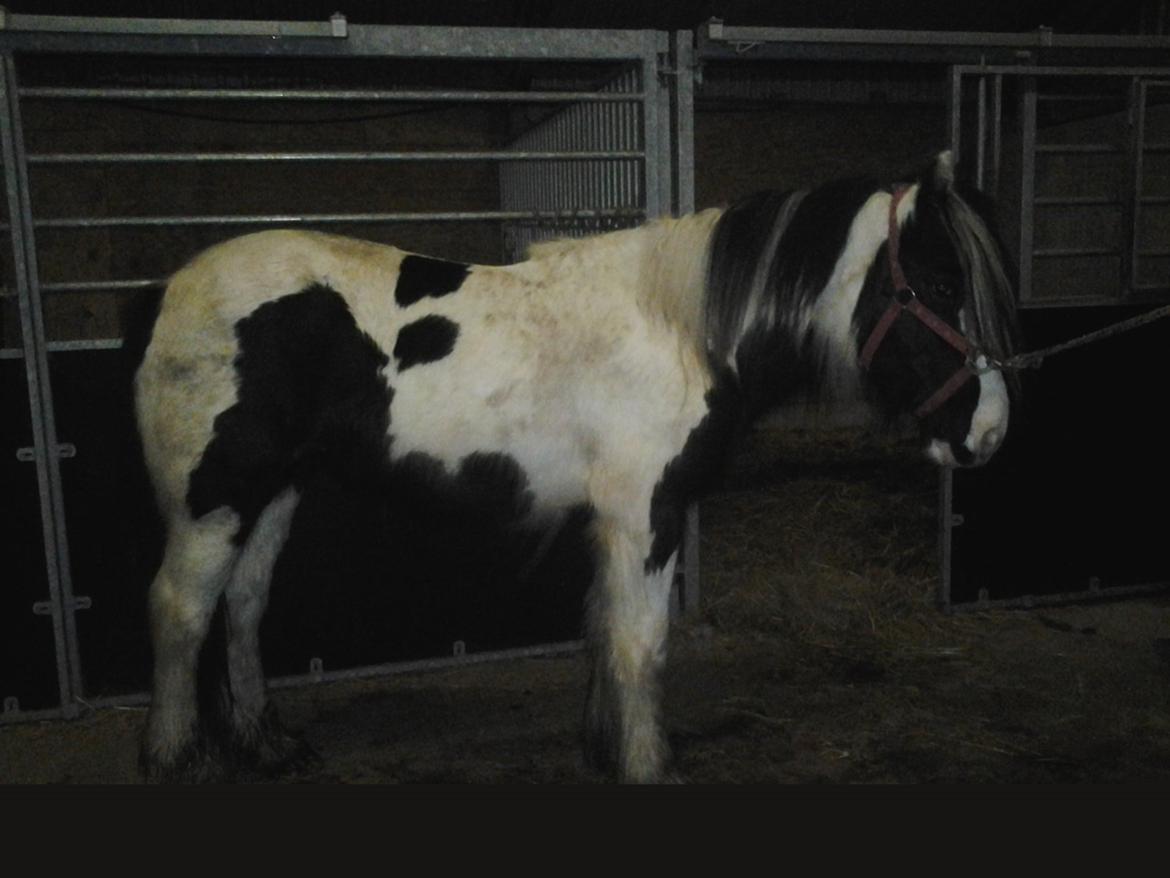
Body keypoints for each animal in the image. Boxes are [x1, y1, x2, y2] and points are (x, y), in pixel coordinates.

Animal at [134, 149, 1015, 782]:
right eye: (940, 284)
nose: (992, 430)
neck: (679, 330)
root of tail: (167, 293)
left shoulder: (616, 522)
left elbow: (604, 633)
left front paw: (606, 748)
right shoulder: (645, 516)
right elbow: (641, 644)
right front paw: (647, 767)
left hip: (273, 492)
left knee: (243, 605)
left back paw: (266, 744)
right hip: (213, 501)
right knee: (179, 610)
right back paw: (176, 757)